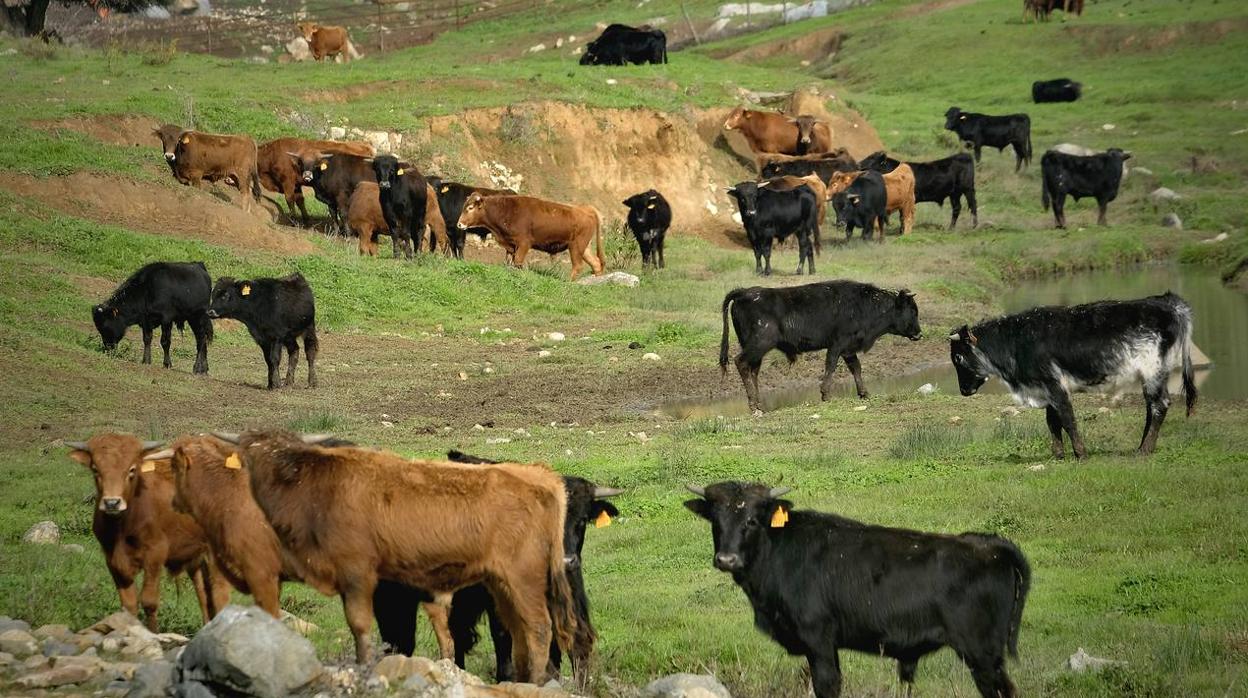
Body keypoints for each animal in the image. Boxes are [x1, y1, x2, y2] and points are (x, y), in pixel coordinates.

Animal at [66, 434, 232, 631]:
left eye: (132, 470)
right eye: (95, 469)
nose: (112, 503)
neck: (123, 528)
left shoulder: (155, 554)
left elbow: (149, 601)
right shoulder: (113, 560)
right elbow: (128, 604)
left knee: (219, 591)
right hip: (196, 556)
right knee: (203, 593)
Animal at [459, 193, 604, 280]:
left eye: (470, 208)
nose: (459, 224)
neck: (506, 211)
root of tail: (585, 209)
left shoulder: (524, 243)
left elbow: (518, 261)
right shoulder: (511, 245)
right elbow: (509, 261)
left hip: (576, 246)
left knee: (578, 265)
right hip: (584, 247)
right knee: (595, 263)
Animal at [688, 484, 1028, 698]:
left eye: (752, 520)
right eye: (715, 521)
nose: (726, 559)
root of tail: (988, 544)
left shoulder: (819, 642)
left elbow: (828, 686)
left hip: (981, 655)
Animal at [718, 279, 923, 412]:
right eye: (912, 310)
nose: (919, 334)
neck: (863, 304)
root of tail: (744, 292)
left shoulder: (848, 350)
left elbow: (856, 368)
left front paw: (864, 393)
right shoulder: (837, 344)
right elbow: (831, 366)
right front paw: (825, 394)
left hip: (756, 350)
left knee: (753, 371)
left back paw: (759, 404)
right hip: (758, 345)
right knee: (741, 362)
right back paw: (753, 405)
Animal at [948, 289, 1193, 459]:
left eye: (958, 357)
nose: (963, 390)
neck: (1017, 340)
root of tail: (1166, 302)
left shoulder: (1054, 385)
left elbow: (1067, 418)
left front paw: (1080, 453)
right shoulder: (1046, 389)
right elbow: (1052, 421)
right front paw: (1058, 454)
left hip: (1153, 372)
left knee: (1159, 405)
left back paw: (1145, 449)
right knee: (1151, 408)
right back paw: (1142, 445)